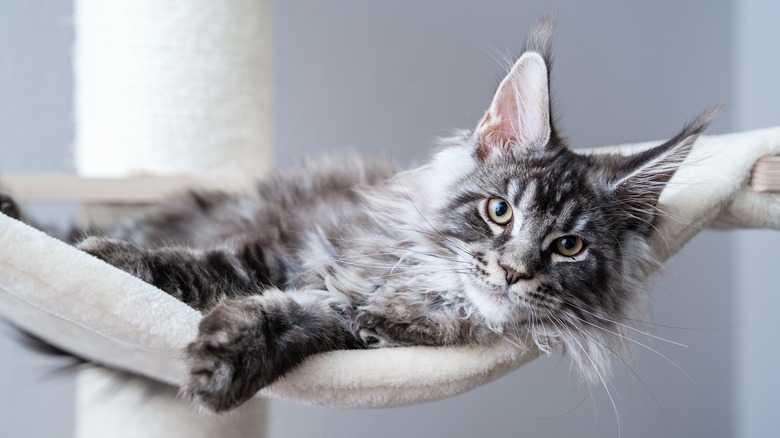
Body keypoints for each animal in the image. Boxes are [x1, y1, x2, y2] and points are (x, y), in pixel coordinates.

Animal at [1, 18, 720, 414]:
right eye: (499, 211)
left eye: (569, 246)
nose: (514, 272)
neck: (429, 289)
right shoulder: (291, 244)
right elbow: (199, 268)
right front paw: (109, 261)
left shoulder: (359, 328)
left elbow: (290, 321)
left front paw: (225, 363)